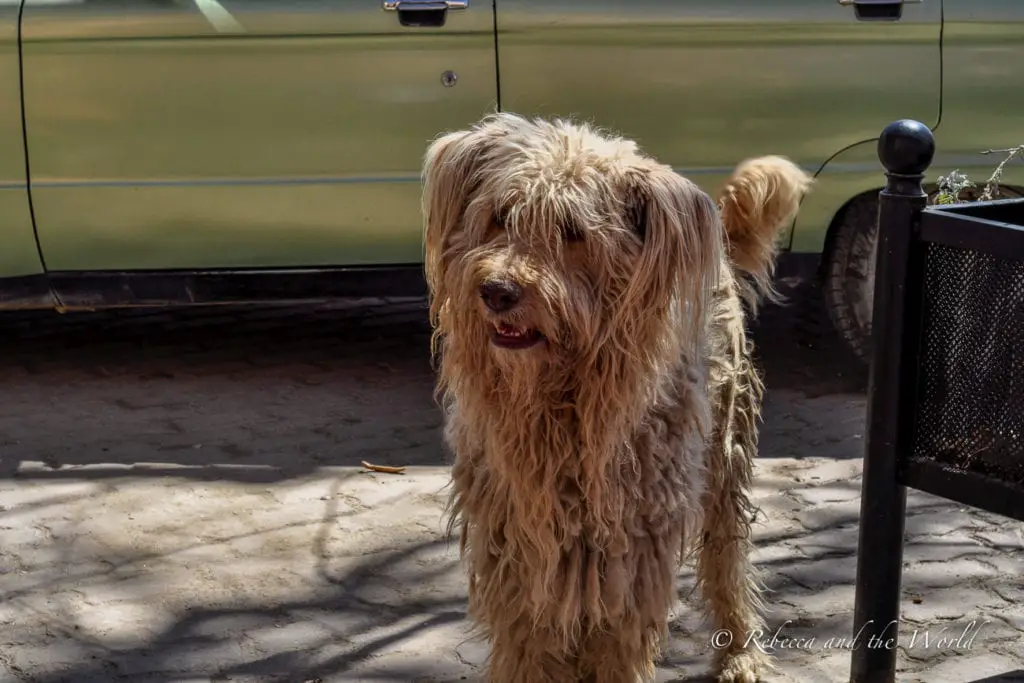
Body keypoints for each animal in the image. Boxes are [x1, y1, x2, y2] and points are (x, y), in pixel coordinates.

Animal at [419, 113, 811, 683]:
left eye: (574, 232)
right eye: (500, 216)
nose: (497, 291)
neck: (559, 407)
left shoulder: (630, 555)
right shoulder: (515, 552)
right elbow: (526, 645)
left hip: (725, 452)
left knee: (727, 557)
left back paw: (740, 652)